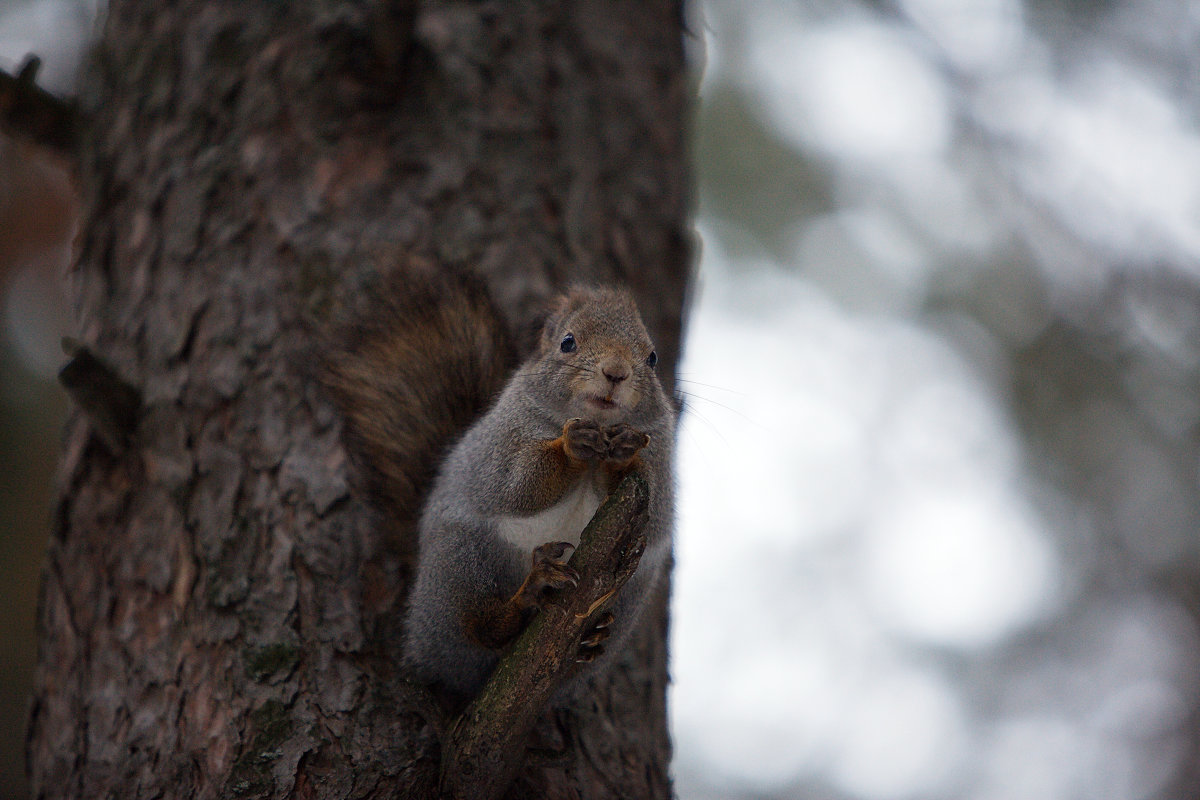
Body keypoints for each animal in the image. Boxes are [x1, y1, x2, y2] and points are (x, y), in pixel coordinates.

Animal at [319, 268, 676, 700]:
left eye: (652, 358)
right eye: (568, 343)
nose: (616, 372)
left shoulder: (661, 456)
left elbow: (655, 511)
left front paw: (623, 454)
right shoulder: (501, 441)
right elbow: (515, 484)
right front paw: (569, 447)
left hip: (629, 597)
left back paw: (591, 638)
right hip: (460, 564)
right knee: (477, 630)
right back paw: (526, 597)